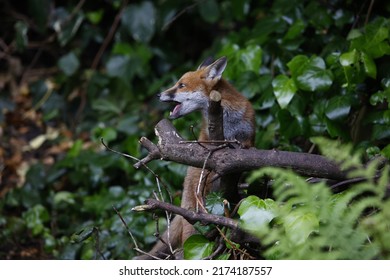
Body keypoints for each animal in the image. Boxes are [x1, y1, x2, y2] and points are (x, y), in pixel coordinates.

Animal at [139, 57, 256, 260]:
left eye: (181, 85)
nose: (158, 94)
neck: (229, 125)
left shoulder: (248, 134)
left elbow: (247, 146)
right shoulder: (210, 141)